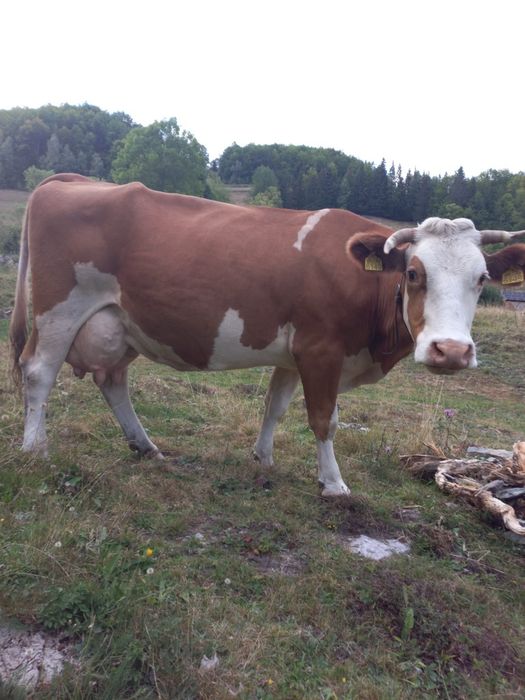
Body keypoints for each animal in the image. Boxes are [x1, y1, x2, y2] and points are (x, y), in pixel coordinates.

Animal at [9, 174, 525, 496]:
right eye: (415, 273)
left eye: (482, 278)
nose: (451, 351)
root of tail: (70, 181)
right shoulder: (321, 350)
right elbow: (324, 420)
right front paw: (333, 483)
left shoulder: (294, 354)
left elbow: (274, 406)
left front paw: (263, 457)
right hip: (60, 310)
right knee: (38, 371)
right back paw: (35, 448)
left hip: (122, 322)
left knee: (112, 380)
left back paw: (145, 446)